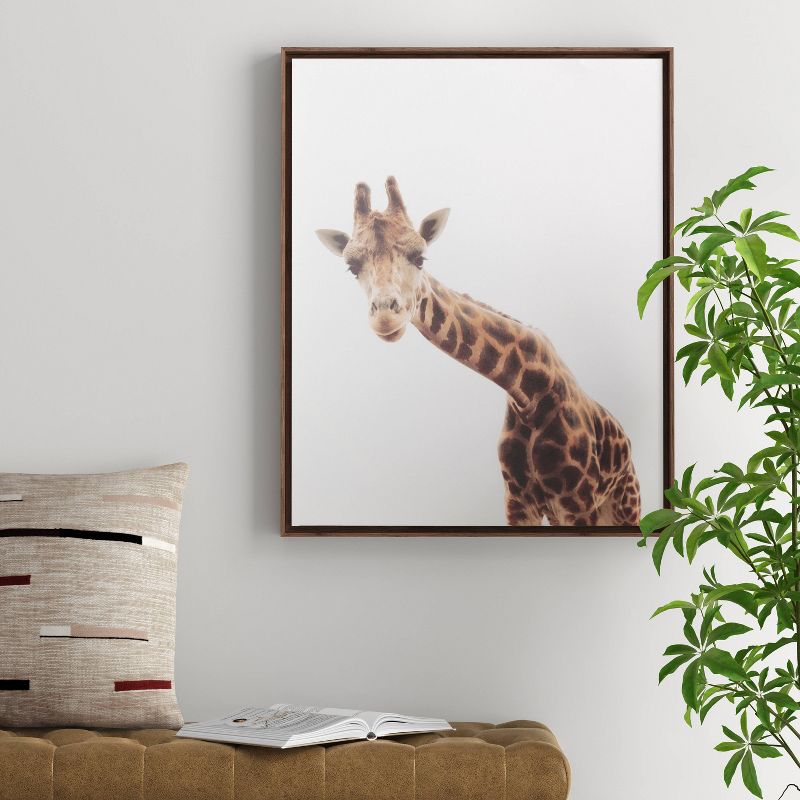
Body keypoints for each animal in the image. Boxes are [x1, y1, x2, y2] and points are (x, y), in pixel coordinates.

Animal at [315, 177, 641, 526]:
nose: (385, 318)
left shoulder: (577, 501)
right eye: (352, 267)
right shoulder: (519, 500)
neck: (528, 395)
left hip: (624, 504)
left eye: (420, 258)